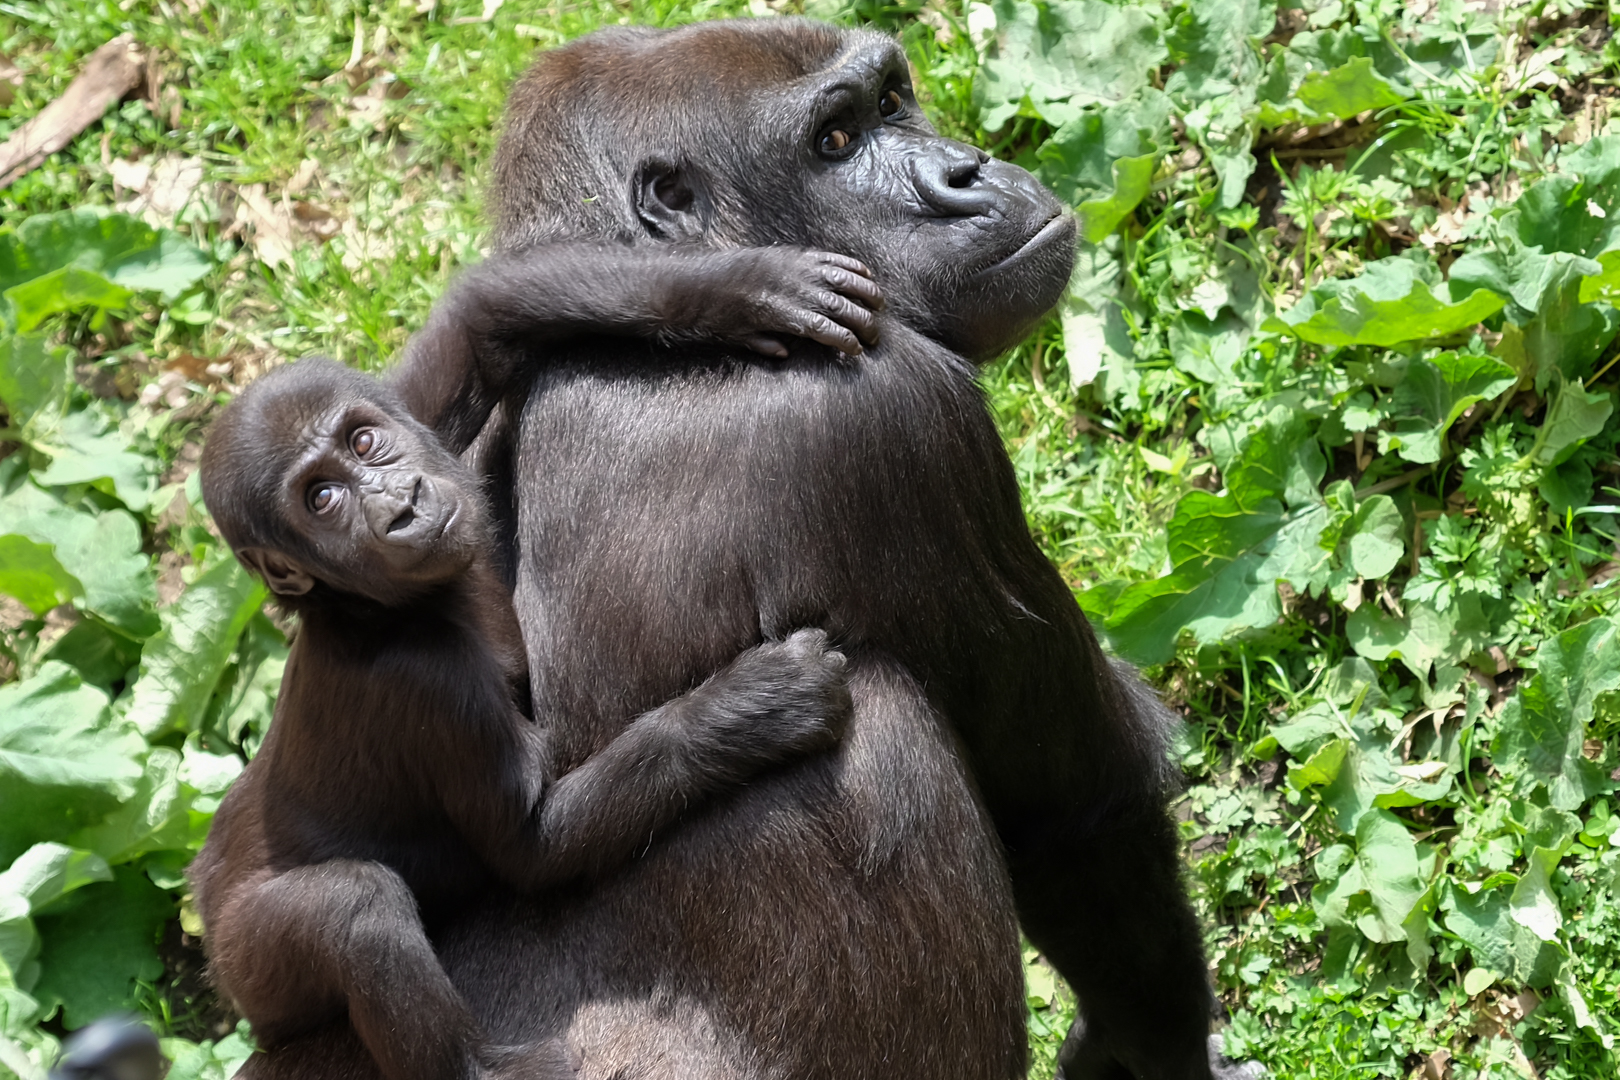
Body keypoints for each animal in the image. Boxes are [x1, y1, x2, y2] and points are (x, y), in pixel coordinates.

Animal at [192, 302, 861, 1075]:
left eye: (365, 441)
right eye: (322, 499)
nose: (401, 506)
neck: (360, 608)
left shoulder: (421, 427)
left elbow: (478, 333)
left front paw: (741, 292)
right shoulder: (431, 683)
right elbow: (531, 847)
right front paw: (756, 705)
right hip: (251, 961)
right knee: (352, 913)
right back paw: (477, 1066)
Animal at [281, 14, 1237, 1080]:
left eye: (892, 101)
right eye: (835, 141)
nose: (967, 172)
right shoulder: (901, 414)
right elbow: (1083, 815)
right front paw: (1149, 1049)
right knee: (887, 714)